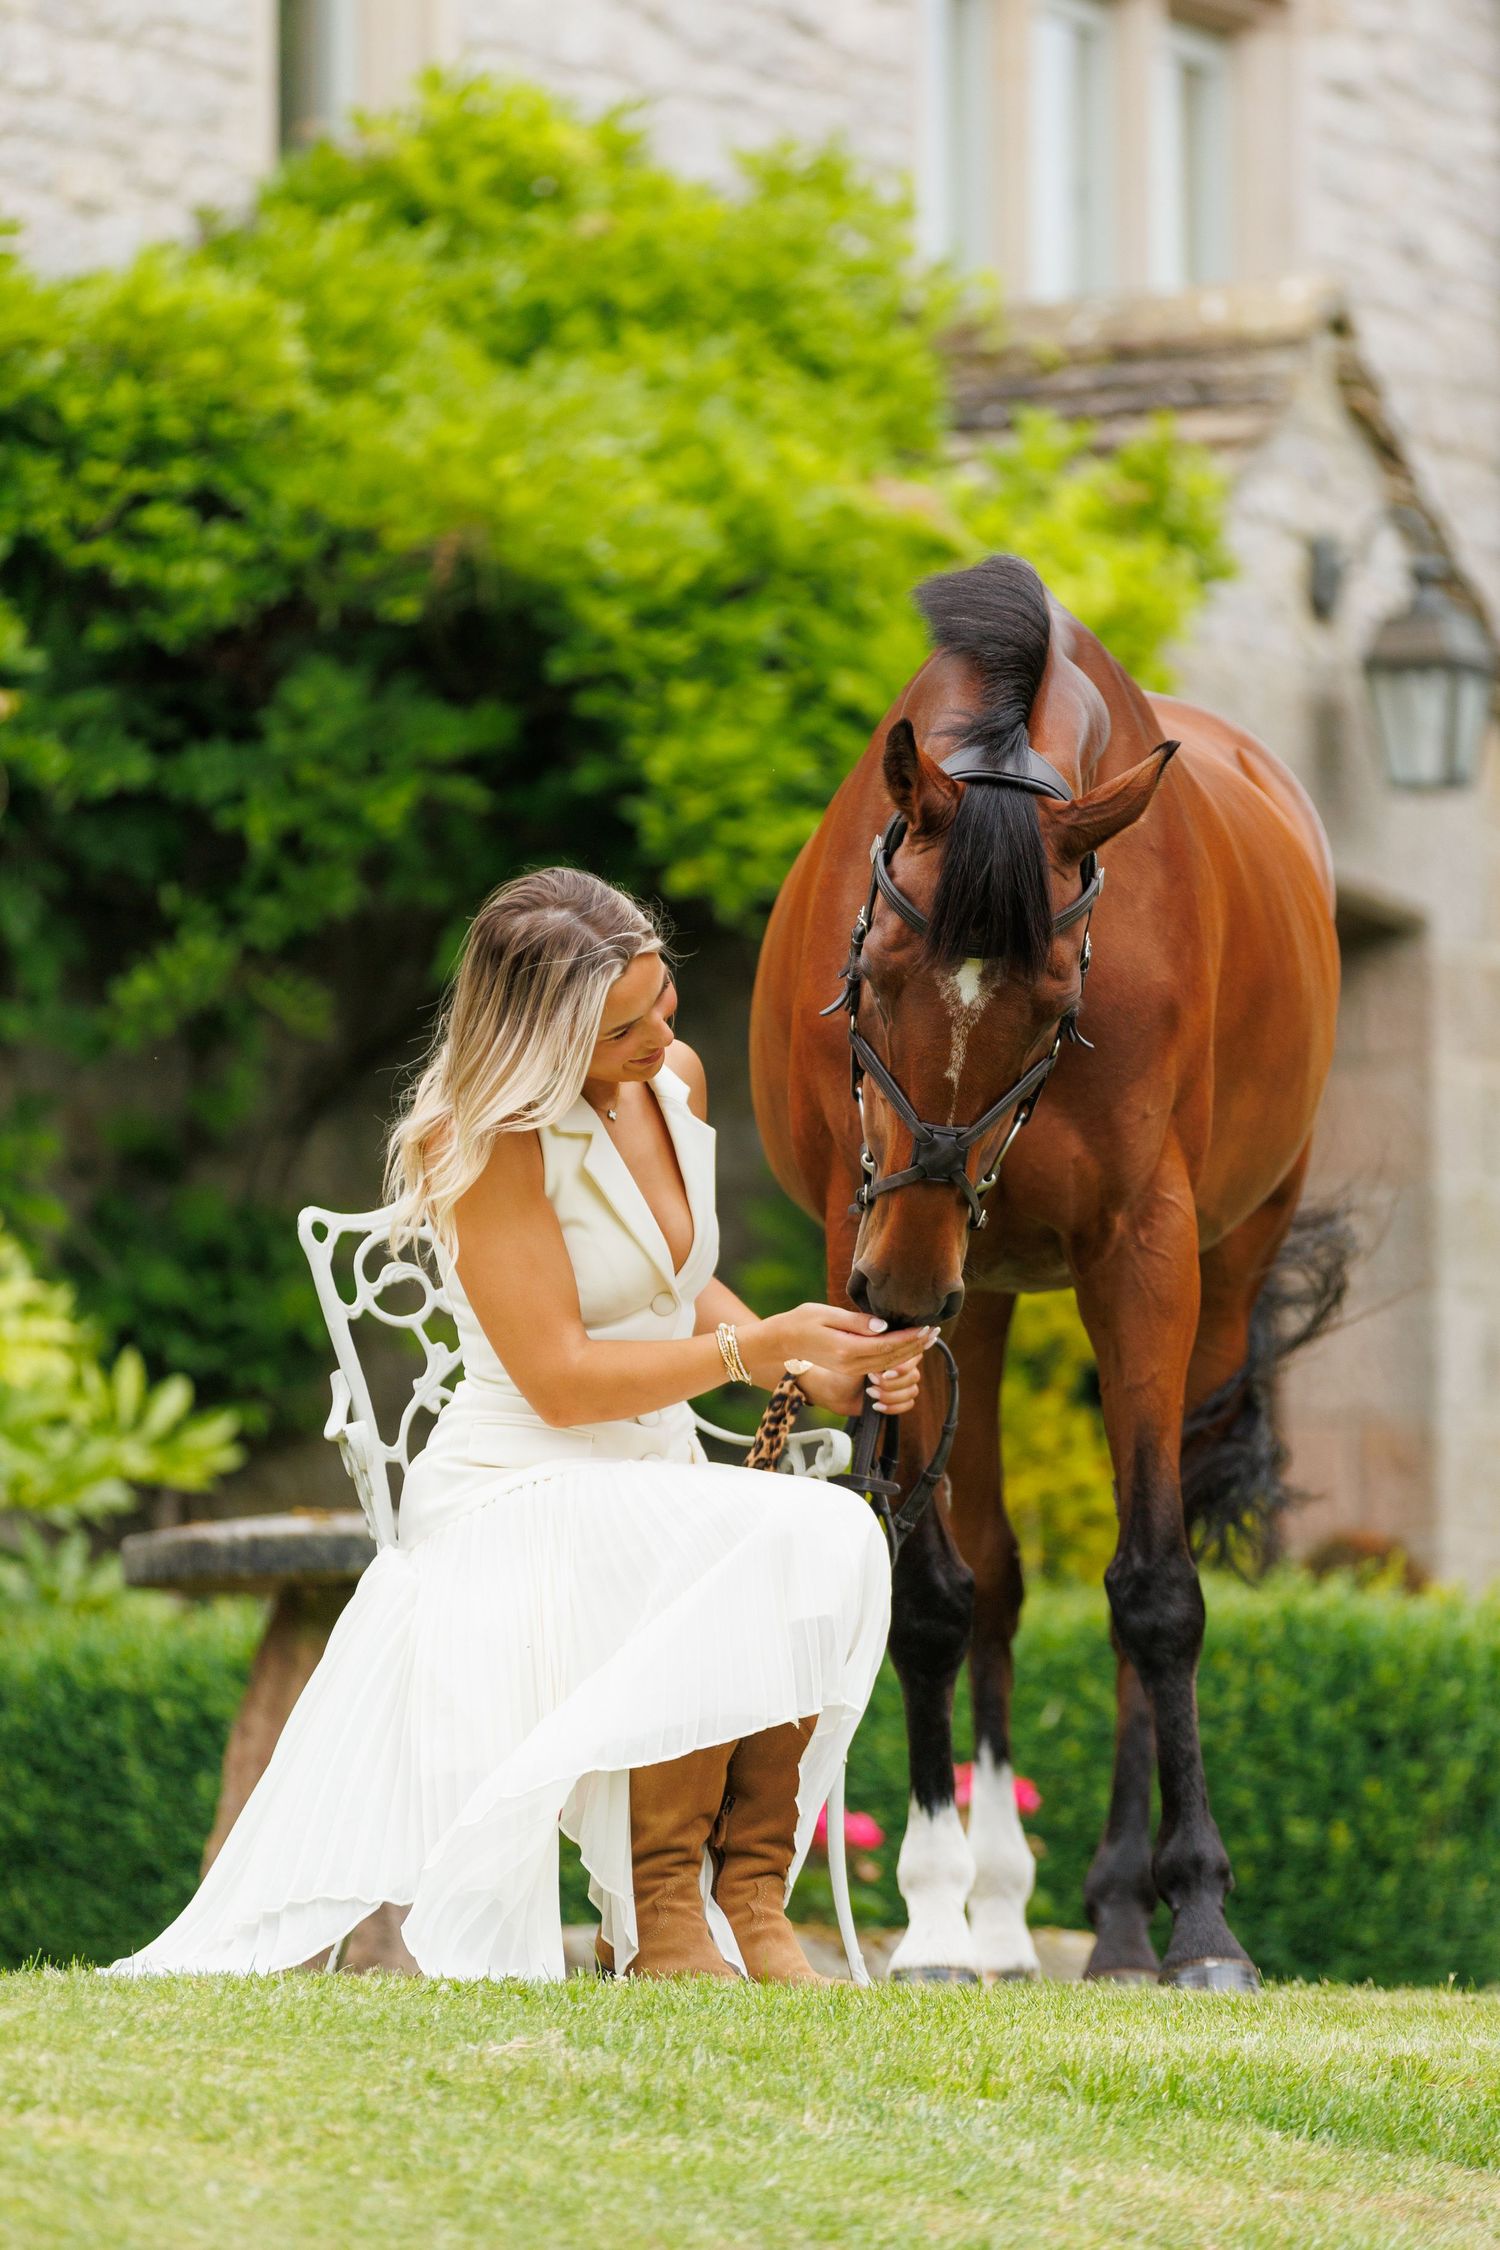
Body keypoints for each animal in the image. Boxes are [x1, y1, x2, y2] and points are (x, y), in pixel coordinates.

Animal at [748, 552, 1347, 1988]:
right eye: (872, 973)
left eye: (1059, 1000)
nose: (909, 1276)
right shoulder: (863, 1251)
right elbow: (930, 1589)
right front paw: (930, 1913)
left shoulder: (1142, 1254)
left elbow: (1156, 1588)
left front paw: (1204, 1915)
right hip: (980, 1290)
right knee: (997, 1576)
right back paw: (1001, 1908)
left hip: (1211, 1272)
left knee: (1145, 1555)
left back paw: (1125, 1910)